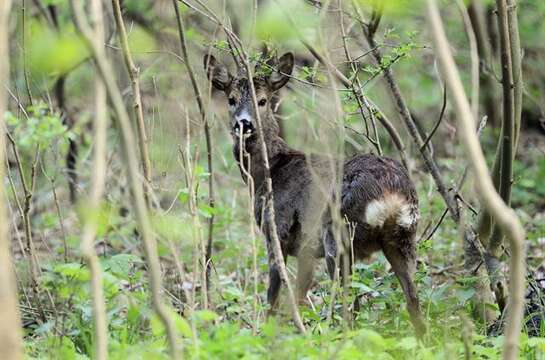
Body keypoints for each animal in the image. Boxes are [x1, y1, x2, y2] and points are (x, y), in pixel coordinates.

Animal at [203, 50, 424, 334]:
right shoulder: (306, 249)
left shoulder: (278, 229)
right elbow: (299, 294)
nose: (244, 124)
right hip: (403, 238)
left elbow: (274, 294)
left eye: (263, 100)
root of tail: (392, 193)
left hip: (338, 233)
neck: (269, 170)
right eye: (231, 99)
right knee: (413, 303)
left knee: (350, 303)